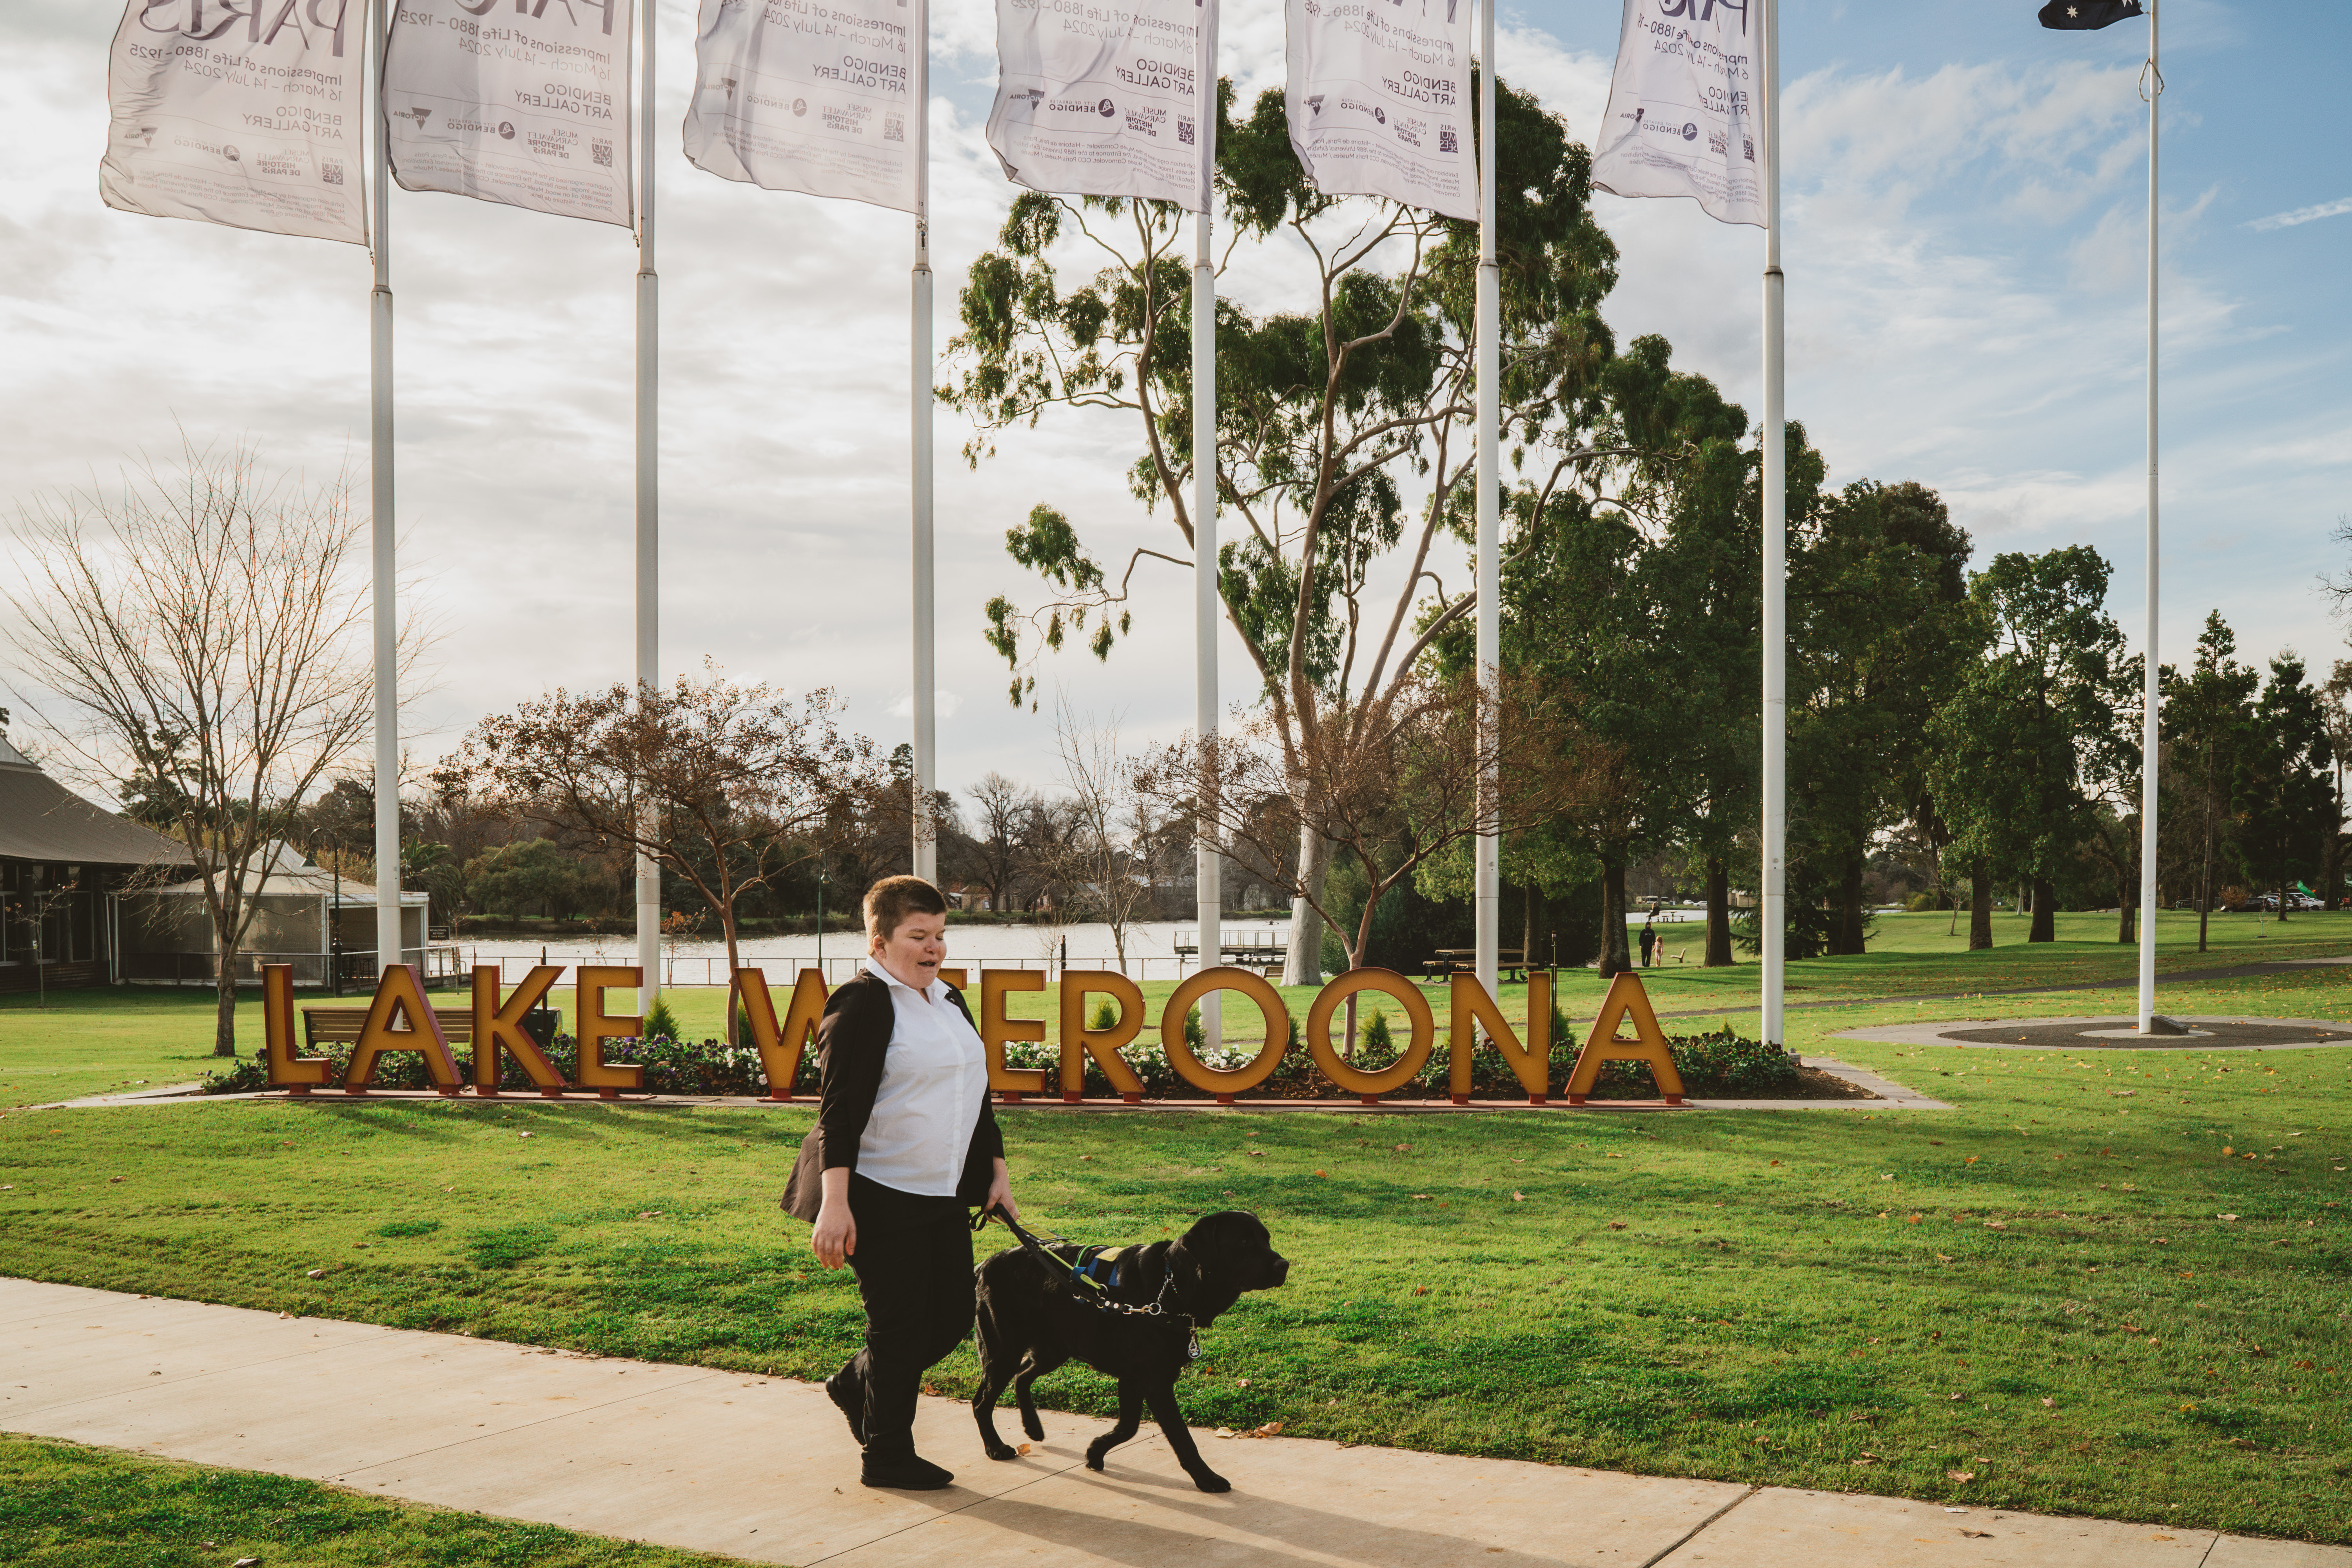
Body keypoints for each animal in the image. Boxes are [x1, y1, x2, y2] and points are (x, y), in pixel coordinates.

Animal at [983, 1213, 1298, 1495]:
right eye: (1244, 1241)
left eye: (1267, 1239)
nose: (1284, 1265)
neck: (1171, 1288)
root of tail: (987, 1263)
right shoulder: (1154, 1381)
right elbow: (1182, 1438)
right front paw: (1207, 1479)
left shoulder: (1133, 1378)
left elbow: (1128, 1427)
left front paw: (1095, 1451)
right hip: (1003, 1351)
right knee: (983, 1402)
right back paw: (995, 1447)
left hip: (1055, 1348)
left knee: (1022, 1376)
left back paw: (1033, 1428)